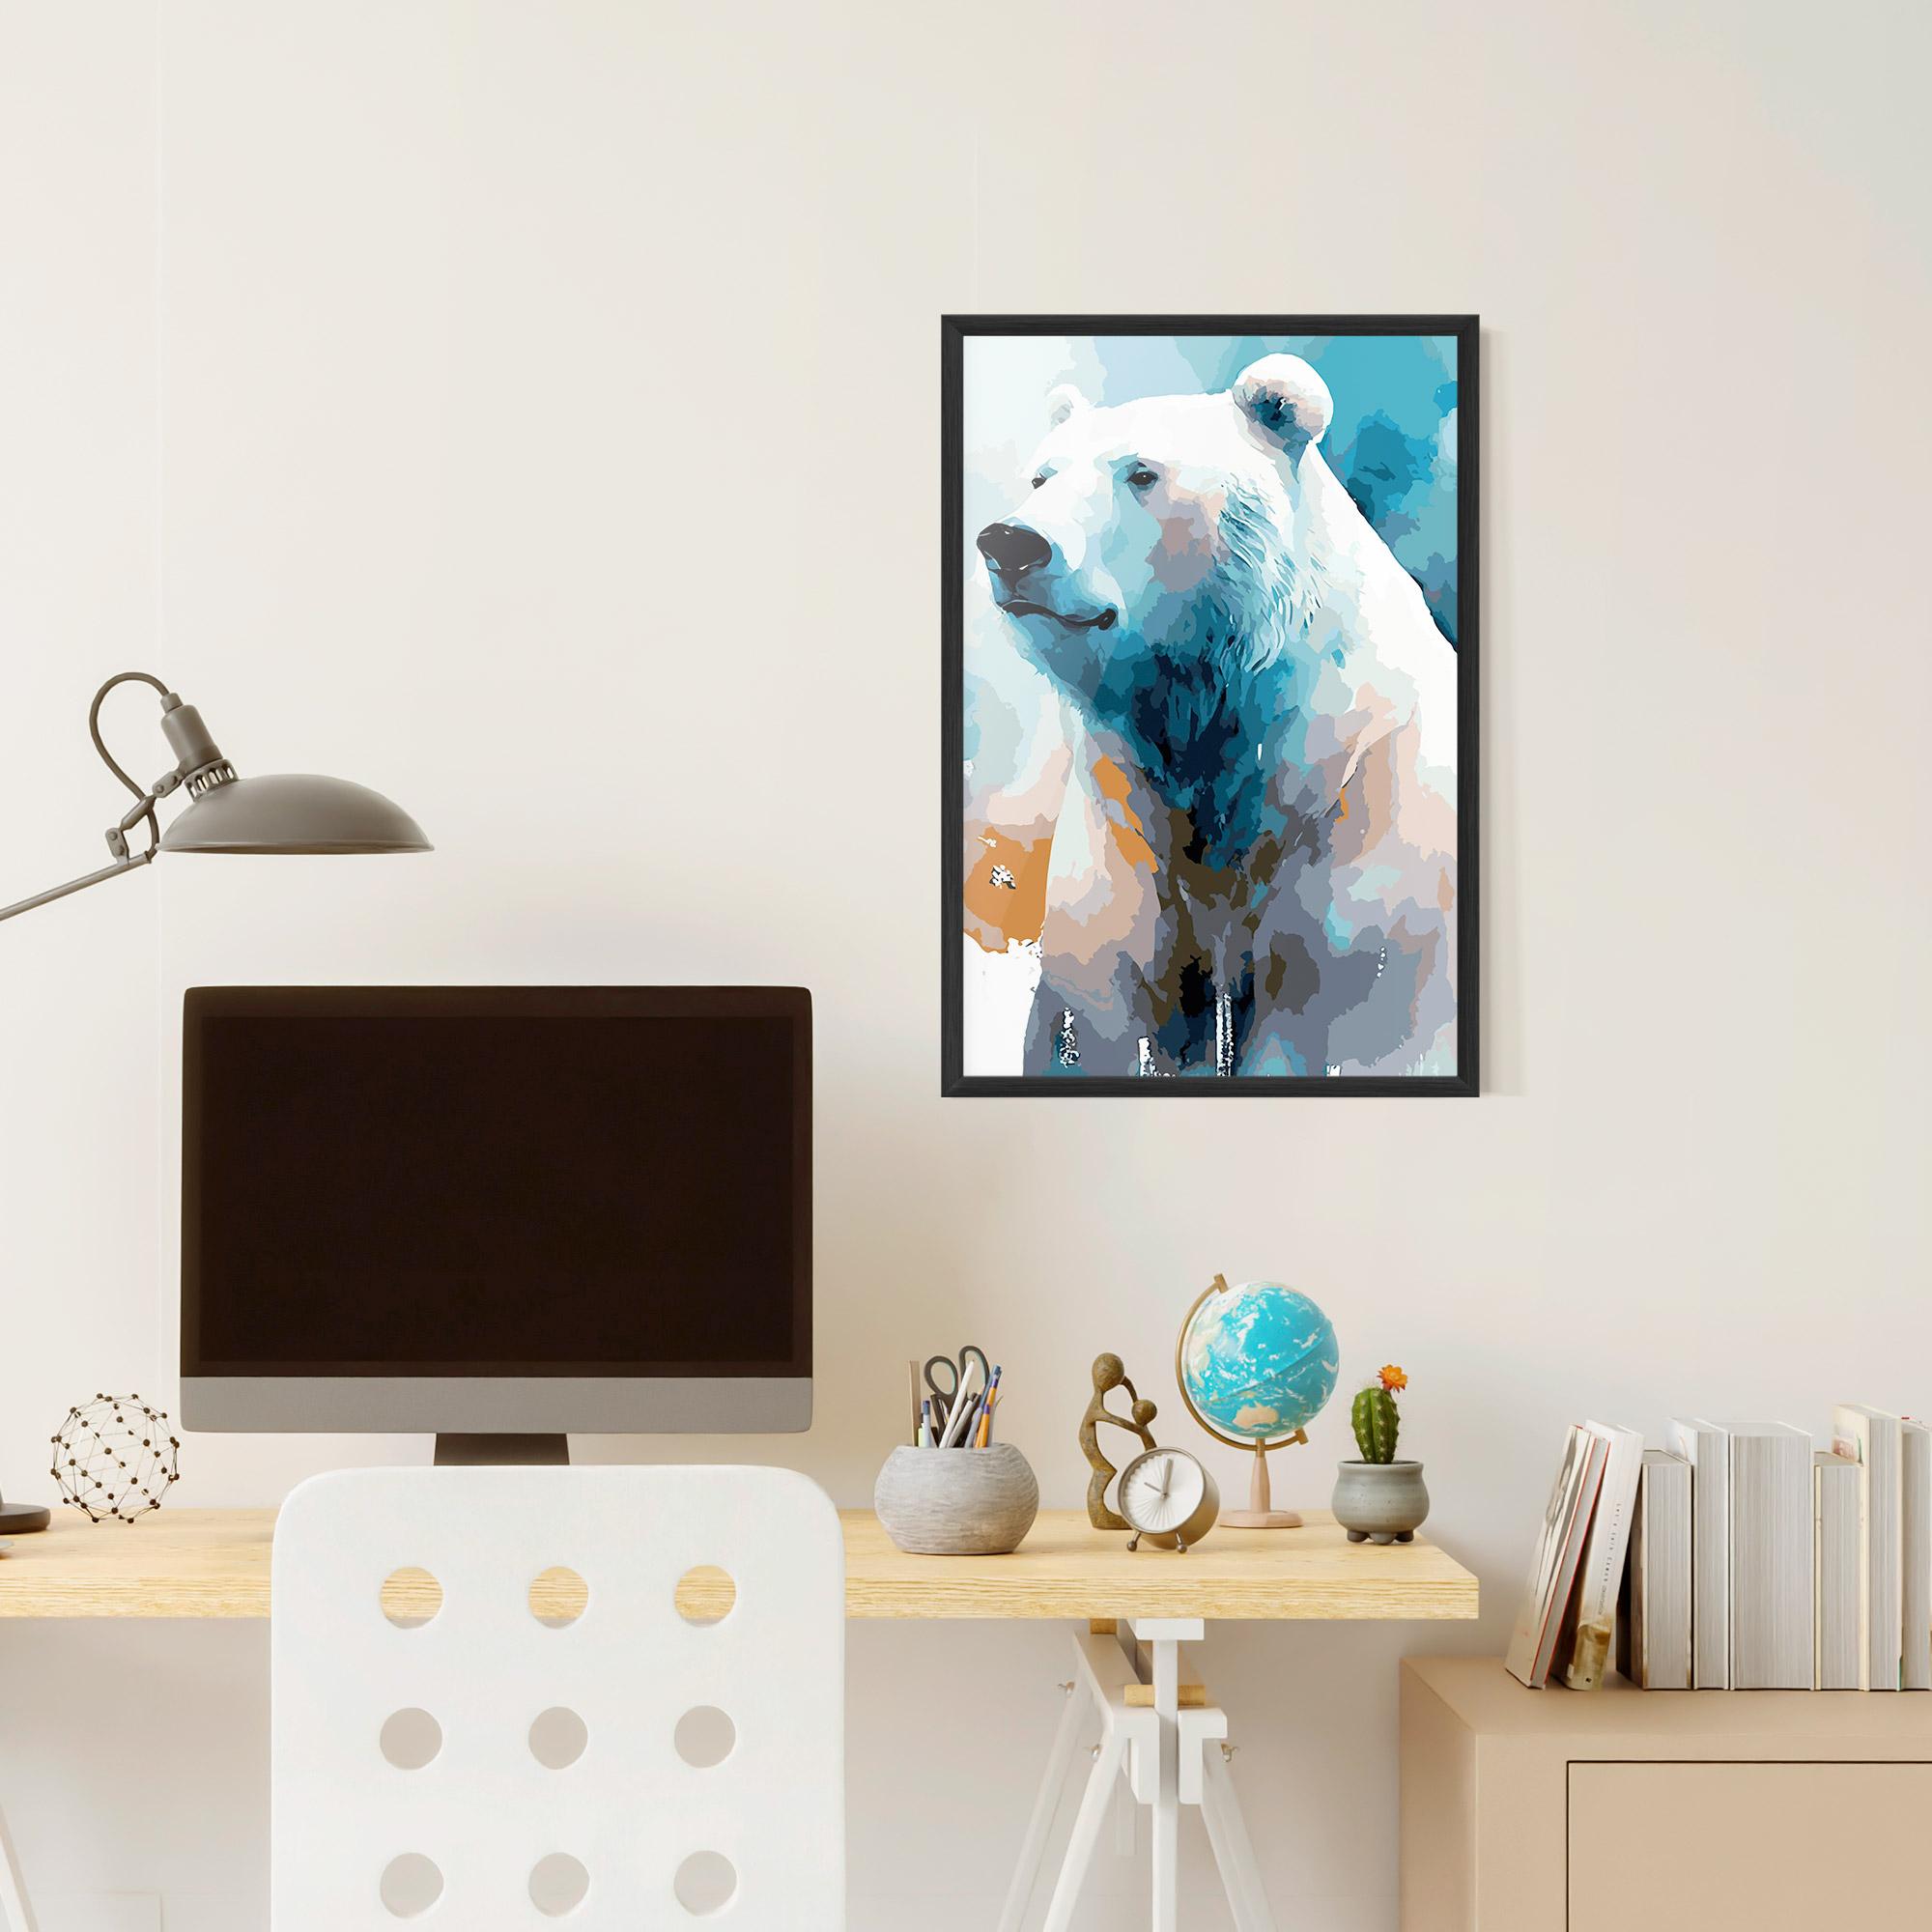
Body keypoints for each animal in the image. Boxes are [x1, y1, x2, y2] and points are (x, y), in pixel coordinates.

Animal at [972, 354, 1458, 1078]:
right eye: (1042, 475)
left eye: (1141, 473)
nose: (1011, 543)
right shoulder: (1125, 834)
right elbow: (1098, 1008)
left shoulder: (1368, 839)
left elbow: (1351, 1017)